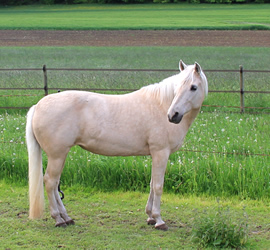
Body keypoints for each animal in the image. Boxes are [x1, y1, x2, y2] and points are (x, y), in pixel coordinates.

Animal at [25, 60, 207, 230]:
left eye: (193, 87)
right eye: (178, 87)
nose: (173, 115)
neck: (160, 105)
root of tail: (38, 105)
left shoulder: (156, 155)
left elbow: (151, 184)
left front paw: (150, 217)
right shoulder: (161, 153)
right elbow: (158, 186)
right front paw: (159, 220)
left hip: (60, 155)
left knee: (54, 183)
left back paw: (66, 218)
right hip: (57, 155)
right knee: (50, 182)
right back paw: (58, 219)